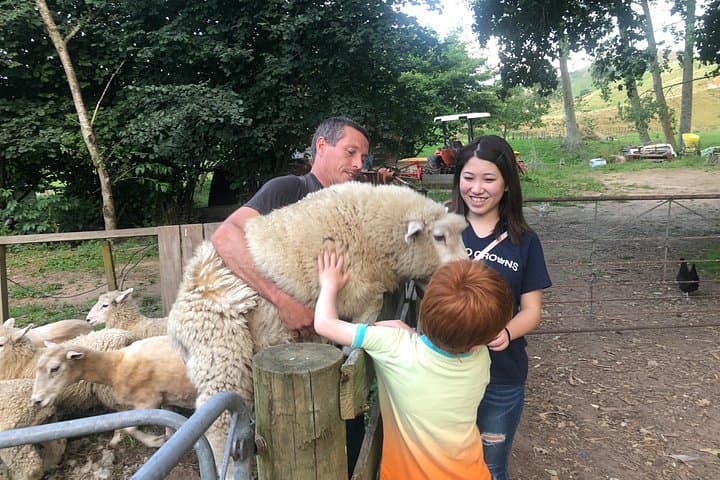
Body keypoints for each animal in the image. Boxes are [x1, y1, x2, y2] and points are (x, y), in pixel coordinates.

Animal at [31, 335, 197, 448]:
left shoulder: (148, 402)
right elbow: (169, 421)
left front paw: (155, 441)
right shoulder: (164, 397)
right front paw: (169, 438)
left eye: (55, 368)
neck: (115, 367)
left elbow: (129, 428)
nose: (36, 400)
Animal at [167, 181, 468, 470]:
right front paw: (352, 346)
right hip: (220, 350)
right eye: (439, 237)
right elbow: (367, 316)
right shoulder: (361, 291)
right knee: (218, 424)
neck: (373, 229)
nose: (465, 268)